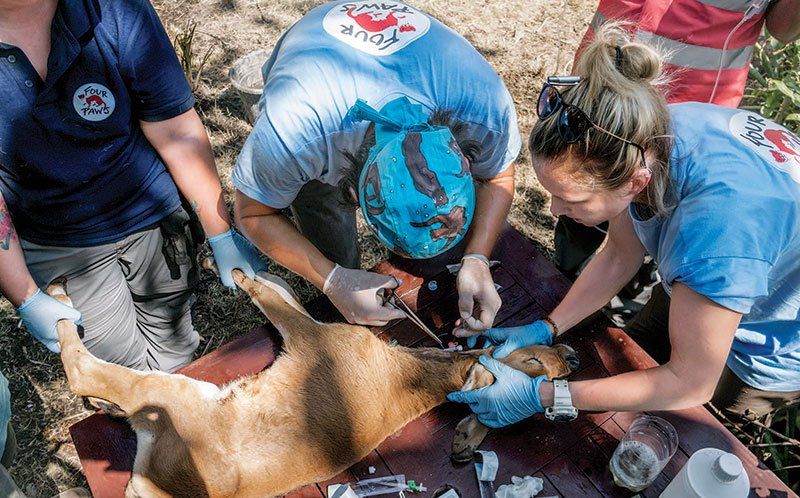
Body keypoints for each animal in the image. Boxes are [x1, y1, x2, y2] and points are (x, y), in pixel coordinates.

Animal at [48, 272, 576, 498]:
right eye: (537, 358)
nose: (570, 358)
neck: (414, 375)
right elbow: (287, 294)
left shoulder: (311, 337)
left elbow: (275, 302)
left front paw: (239, 271)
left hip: (169, 393)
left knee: (84, 370)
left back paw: (56, 301)